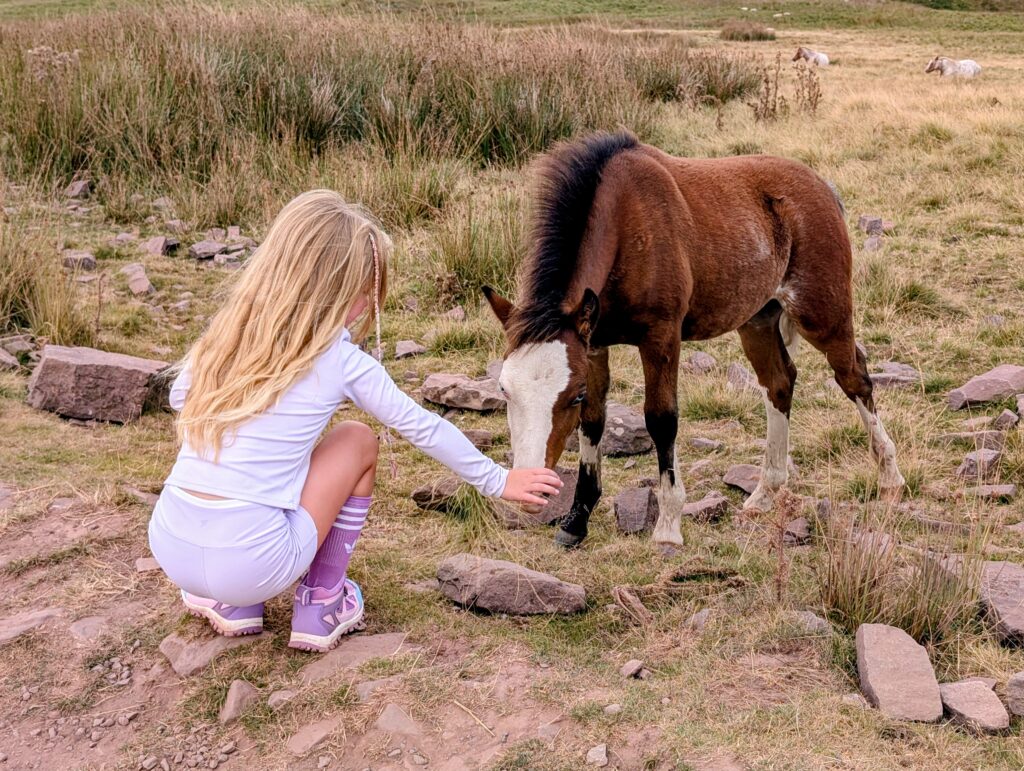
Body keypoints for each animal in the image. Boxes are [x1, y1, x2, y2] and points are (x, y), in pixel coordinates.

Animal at [483, 131, 905, 550]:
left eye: (573, 395)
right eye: (504, 390)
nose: (531, 492)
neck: (625, 225)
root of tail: (822, 187)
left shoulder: (661, 337)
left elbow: (661, 419)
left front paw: (668, 525)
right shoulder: (594, 345)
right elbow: (594, 423)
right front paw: (576, 520)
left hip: (821, 314)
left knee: (854, 377)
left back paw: (889, 477)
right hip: (757, 320)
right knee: (779, 383)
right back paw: (765, 493)